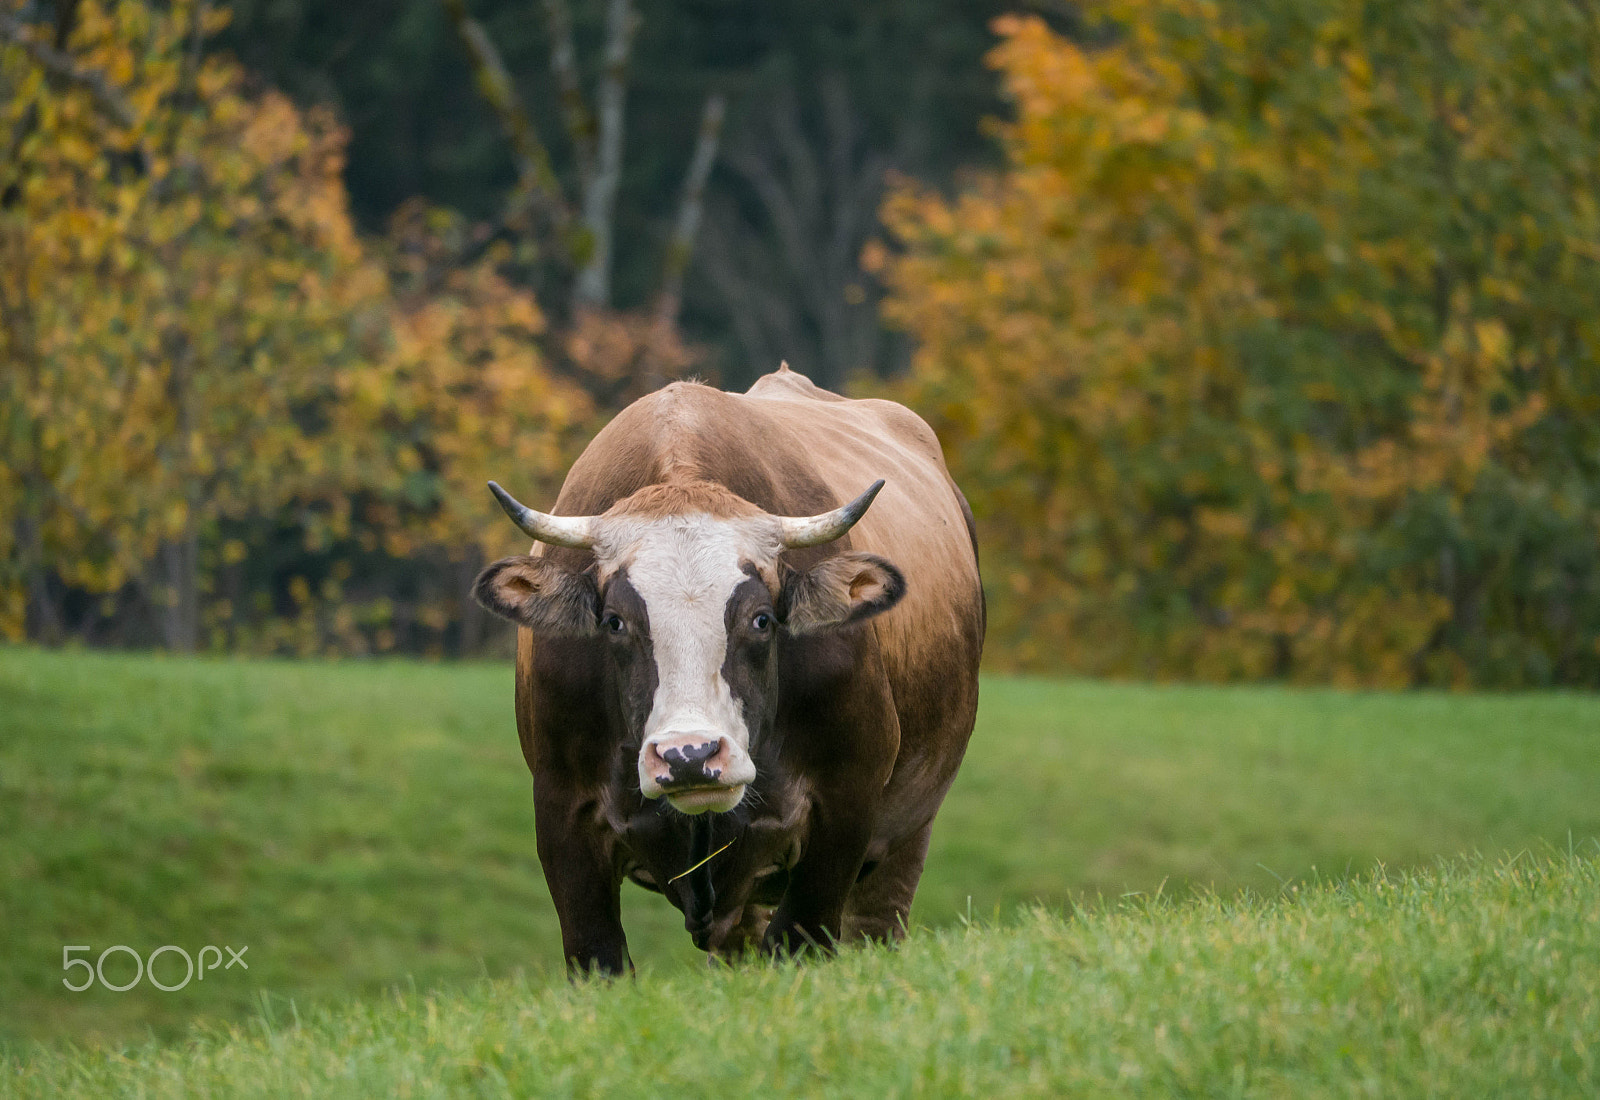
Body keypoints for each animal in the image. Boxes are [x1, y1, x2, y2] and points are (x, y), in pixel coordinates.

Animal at [472, 365, 983, 974]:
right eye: (615, 622)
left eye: (761, 619)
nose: (688, 755)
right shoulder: (562, 814)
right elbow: (598, 957)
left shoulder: (845, 809)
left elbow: (800, 943)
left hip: (904, 839)